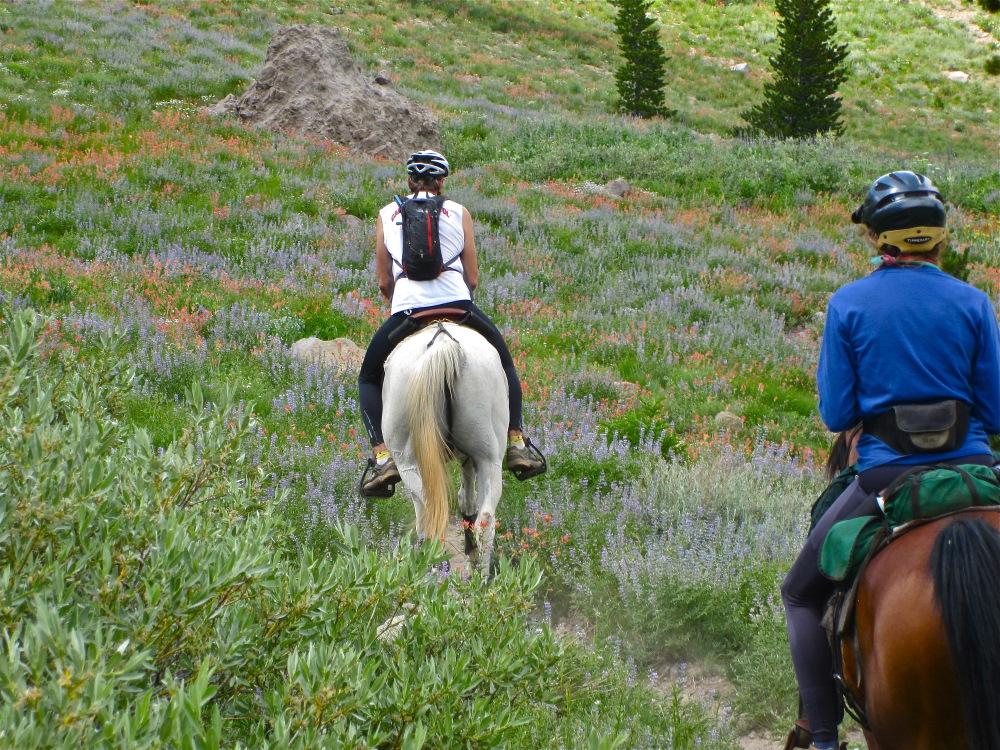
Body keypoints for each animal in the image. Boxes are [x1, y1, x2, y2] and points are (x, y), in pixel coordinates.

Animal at [380, 320, 512, 568]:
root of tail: (442, 343)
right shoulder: (469, 459)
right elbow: (467, 500)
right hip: (489, 457)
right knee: (485, 520)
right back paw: (478, 574)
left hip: (407, 462)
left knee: (429, 517)